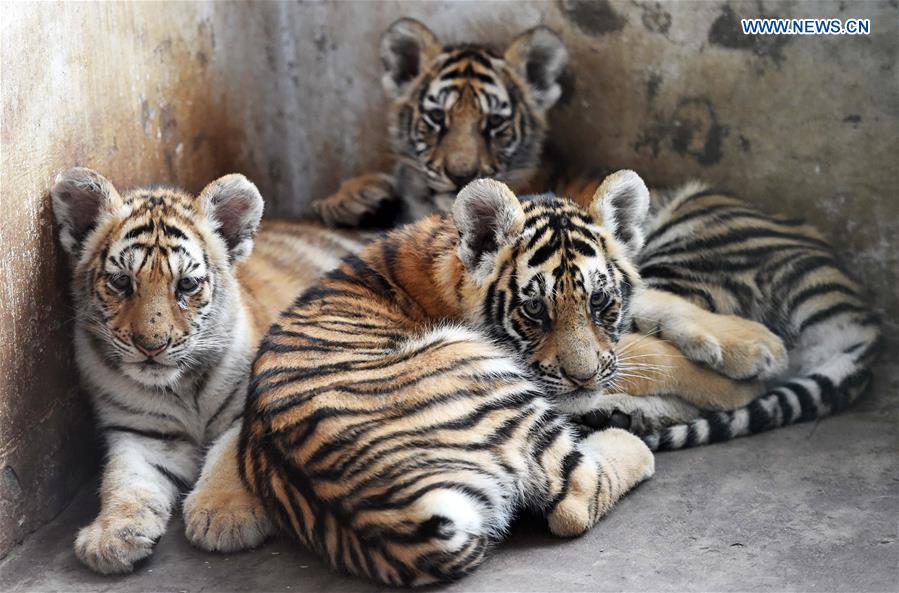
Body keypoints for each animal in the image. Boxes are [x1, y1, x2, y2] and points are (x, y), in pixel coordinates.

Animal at [51, 167, 366, 574]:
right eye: (121, 282)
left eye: (186, 284)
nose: (152, 346)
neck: (180, 388)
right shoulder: (142, 433)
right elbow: (123, 480)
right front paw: (110, 536)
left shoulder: (252, 410)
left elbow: (229, 458)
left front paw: (224, 517)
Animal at [184, 171, 791, 585]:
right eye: (535, 311)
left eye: (600, 301)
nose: (583, 380)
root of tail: (390, 517)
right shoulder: (539, 371)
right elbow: (648, 355)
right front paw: (741, 384)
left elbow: (657, 305)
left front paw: (754, 344)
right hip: (482, 372)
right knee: (574, 497)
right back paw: (627, 439)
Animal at [309, 18, 881, 447]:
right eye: (436, 119)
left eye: (496, 124)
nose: (459, 175)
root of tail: (855, 313)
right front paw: (352, 197)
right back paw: (624, 414)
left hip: (687, 244)